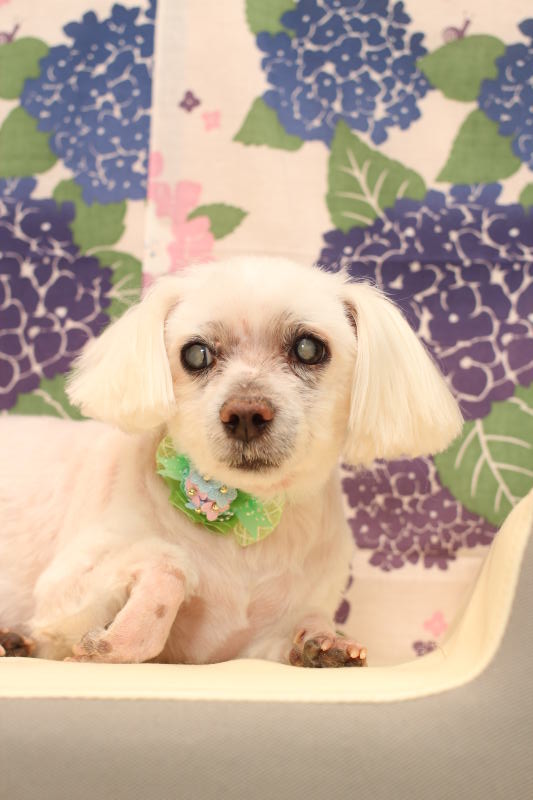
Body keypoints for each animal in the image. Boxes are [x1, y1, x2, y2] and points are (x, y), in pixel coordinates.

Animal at [0, 257, 462, 666]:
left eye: (309, 348)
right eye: (196, 354)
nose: (245, 413)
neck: (244, 516)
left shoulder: (257, 646)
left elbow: (303, 626)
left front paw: (323, 643)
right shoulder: (65, 591)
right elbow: (169, 566)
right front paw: (122, 640)